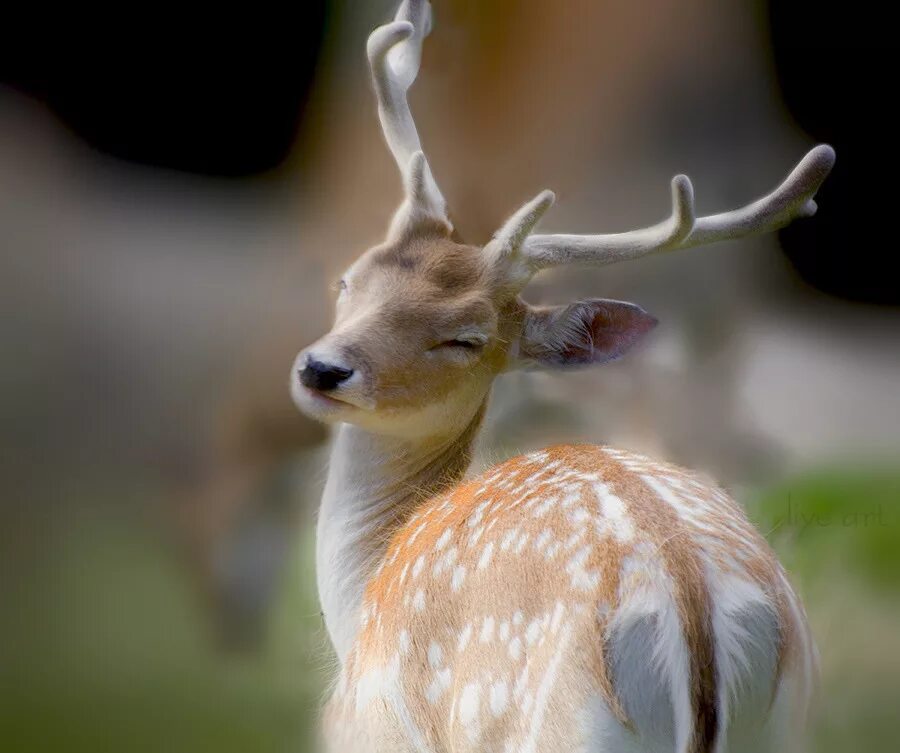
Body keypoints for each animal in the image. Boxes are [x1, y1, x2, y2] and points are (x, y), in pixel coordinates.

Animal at [292, 2, 832, 748]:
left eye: (465, 338)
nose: (322, 368)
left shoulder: (371, 728)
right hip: (792, 717)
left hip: (557, 724)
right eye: (350, 279)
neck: (360, 594)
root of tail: (695, 606)